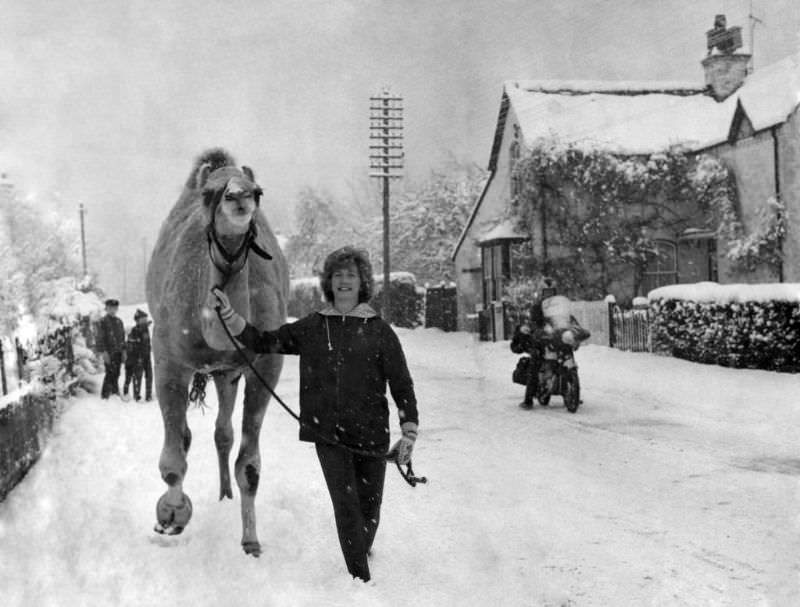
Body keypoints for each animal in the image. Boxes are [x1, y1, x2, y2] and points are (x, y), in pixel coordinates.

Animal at [145, 148, 290, 556]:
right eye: (209, 194)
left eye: (259, 192)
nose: (239, 197)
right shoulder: (166, 356)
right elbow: (173, 459)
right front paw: (171, 514)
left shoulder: (266, 363)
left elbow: (250, 465)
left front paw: (251, 541)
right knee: (184, 435)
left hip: (229, 372)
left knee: (222, 432)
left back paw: (226, 493)